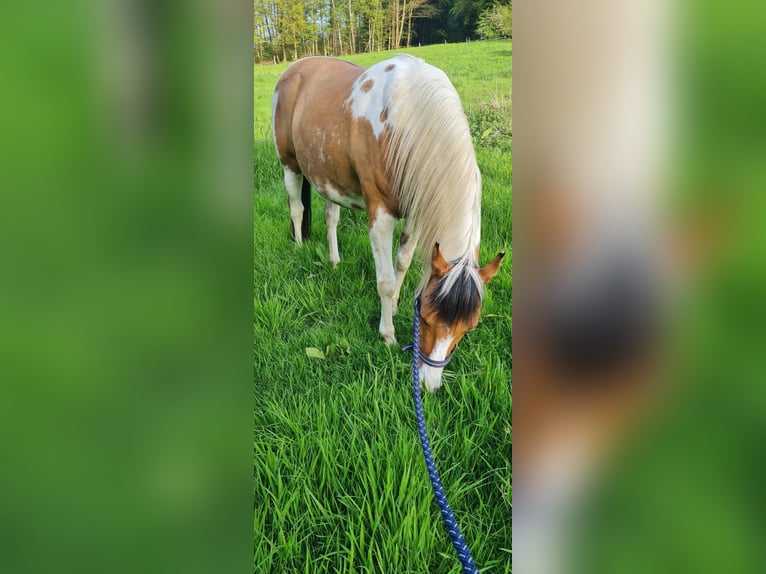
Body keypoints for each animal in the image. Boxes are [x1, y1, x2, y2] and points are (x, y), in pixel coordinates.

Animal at [272, 54, 508, 394]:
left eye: (469, 328)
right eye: (425, 318)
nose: (428, 384)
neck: (405, 120)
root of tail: (294, 67)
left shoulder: (415, 212)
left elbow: (402, 263)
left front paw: (395, 306)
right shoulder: (380, 215)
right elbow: (383, 279)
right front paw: (387, 334)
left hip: (329, 176)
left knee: (331, 217)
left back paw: (334, 261)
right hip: (289, 164)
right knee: (296, 209)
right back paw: (300, 249)